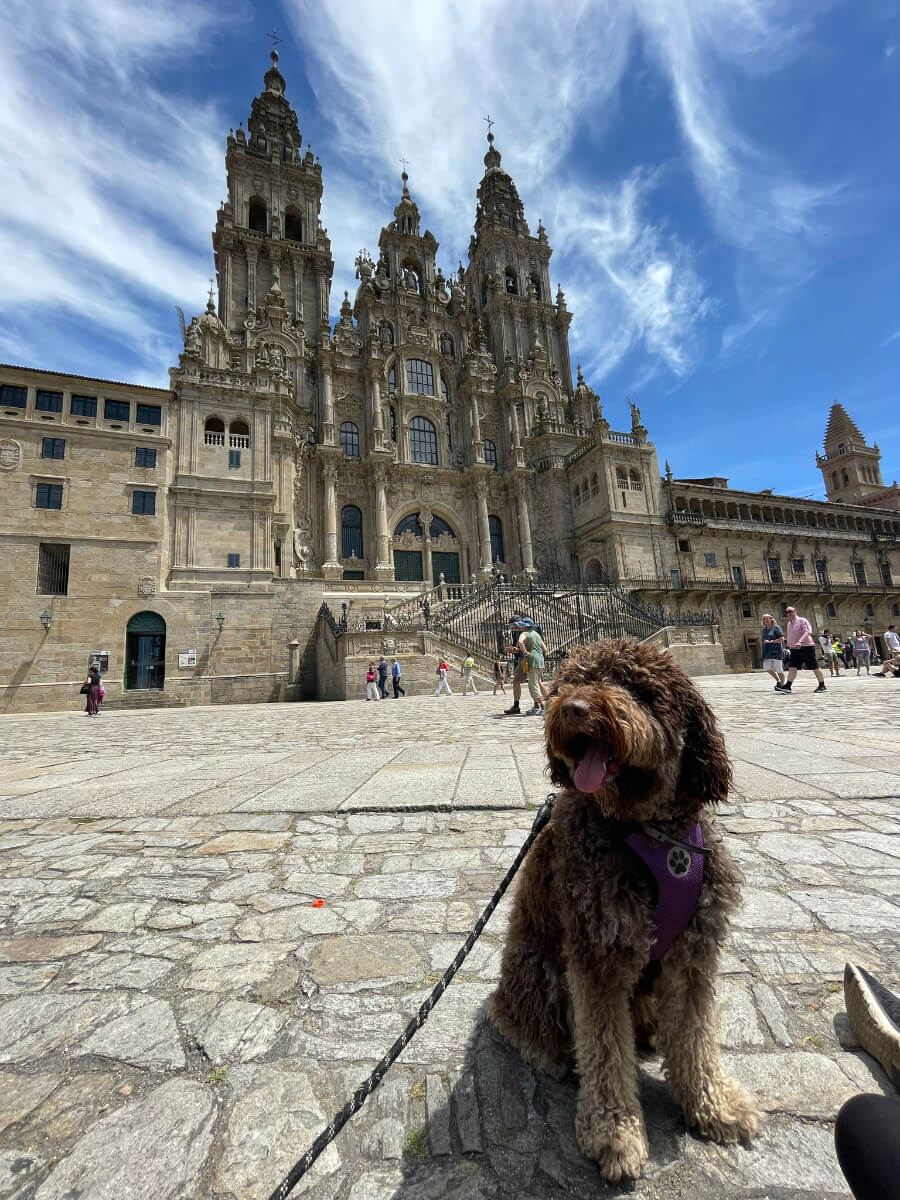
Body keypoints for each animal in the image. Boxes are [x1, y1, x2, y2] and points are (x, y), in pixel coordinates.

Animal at [489, 638, 763, 1180]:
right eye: (572, 681)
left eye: (635, 687)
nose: (573, 708)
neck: (651, 834)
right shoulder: (598, 955)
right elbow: (604, 1050)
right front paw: (614, 1133)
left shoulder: (694, 952)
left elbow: (696, 1035)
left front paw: (712, 1104)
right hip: (537, 969)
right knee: (524, 1022)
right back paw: (548, 1051)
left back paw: (653, 1032)